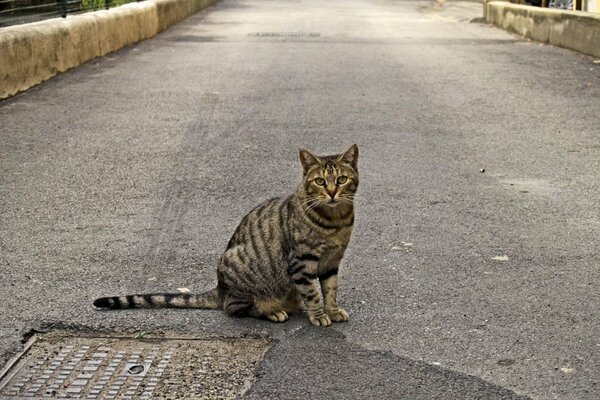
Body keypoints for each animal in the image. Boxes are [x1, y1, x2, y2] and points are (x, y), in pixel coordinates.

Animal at [93, 145, 356, 326]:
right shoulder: (301, 262)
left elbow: (330, 290)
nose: (332, 192)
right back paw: (271, 310)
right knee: (235, 307)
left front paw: (332, 311)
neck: (336, 221)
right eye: (320, 181)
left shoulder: (331, 262)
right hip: (239, 266)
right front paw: (319, 315)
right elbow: (312, 292)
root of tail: (219, 288)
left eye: (341, 179)